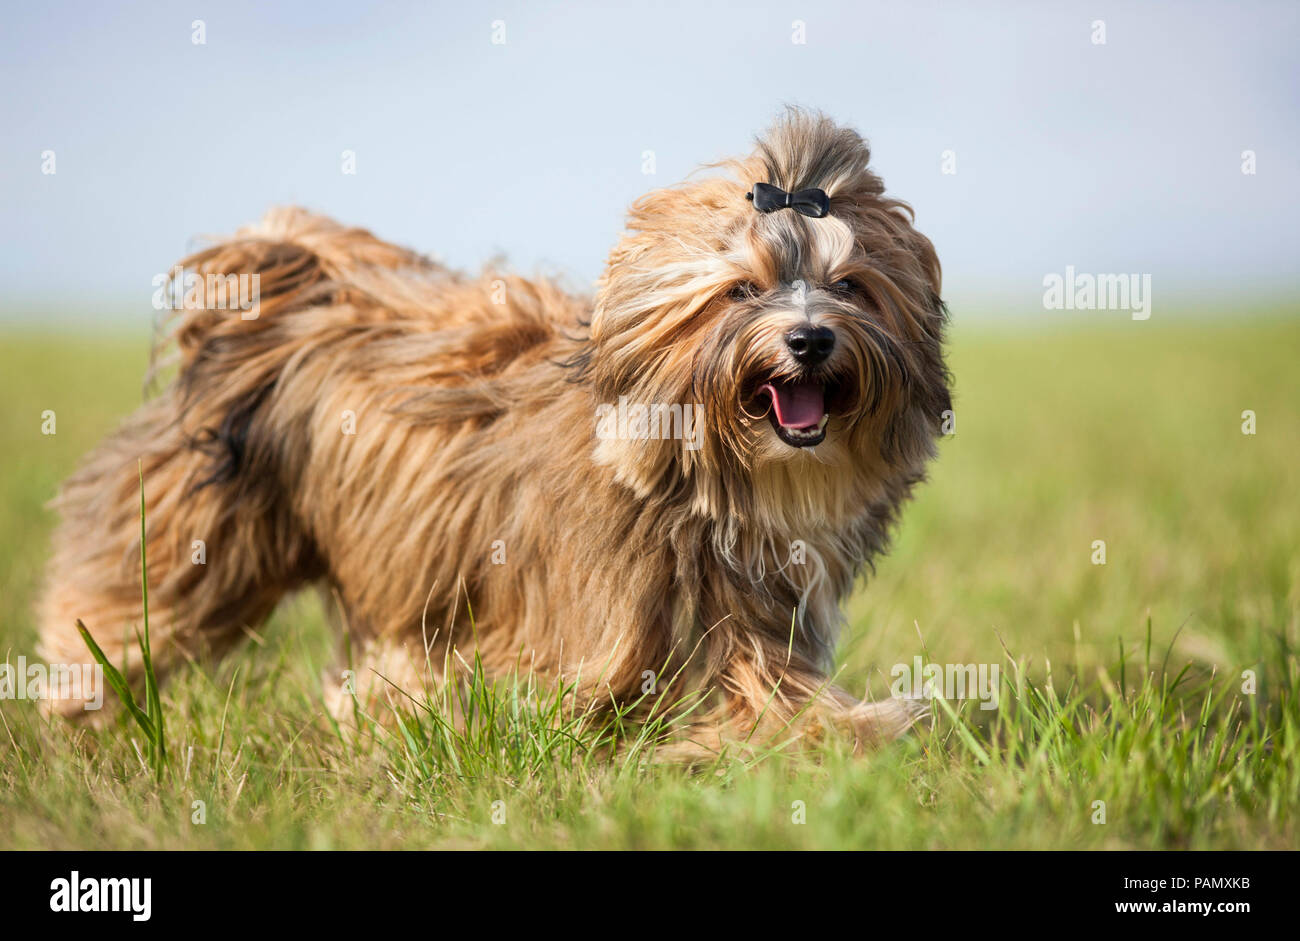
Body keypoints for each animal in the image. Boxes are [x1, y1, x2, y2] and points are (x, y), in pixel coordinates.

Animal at [38, 110, 956, 759]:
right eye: (741, 290)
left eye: (850, 286)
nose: (809, 339)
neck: (700, 483)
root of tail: (289, 282)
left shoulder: (744, 621)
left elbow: (772, 694)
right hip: (204, 528)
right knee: (121, 596)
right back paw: (76, 699)